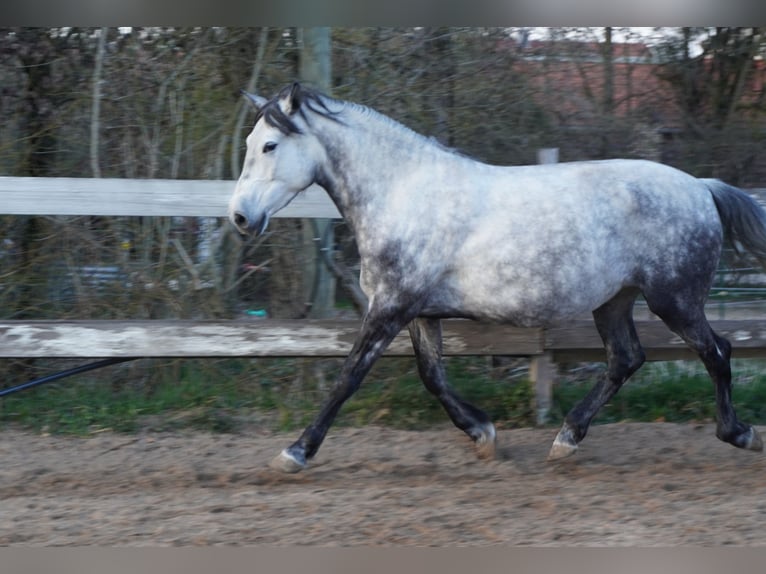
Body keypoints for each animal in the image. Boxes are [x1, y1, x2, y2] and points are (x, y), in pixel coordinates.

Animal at [229, 82, 766, 473]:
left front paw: (295, 452)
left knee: (717, 352)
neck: (402, 194)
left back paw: (740, 434)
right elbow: (432, 376)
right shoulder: (418, 312)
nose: (239, 217)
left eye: (270, 145)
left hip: (674, 299)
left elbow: (348, 377)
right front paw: (483, 435)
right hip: (614, 300)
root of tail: (700, 187)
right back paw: (566, 439)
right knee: (626, 359)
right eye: (252, 144)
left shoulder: (390, 308)